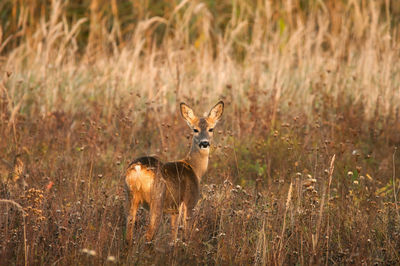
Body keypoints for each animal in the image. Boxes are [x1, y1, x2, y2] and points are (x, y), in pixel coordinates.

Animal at [125, 101, 223, 244]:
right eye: (195, 129)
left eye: (211, 129)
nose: (204, 143)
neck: (194, 169)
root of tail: (138, 168)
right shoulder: (189, 201)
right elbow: (185, 234)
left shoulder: (174, 209)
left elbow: (173, 236)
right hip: (157, 198)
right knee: (148, 235)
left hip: (130, 196)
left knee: (128, 233)